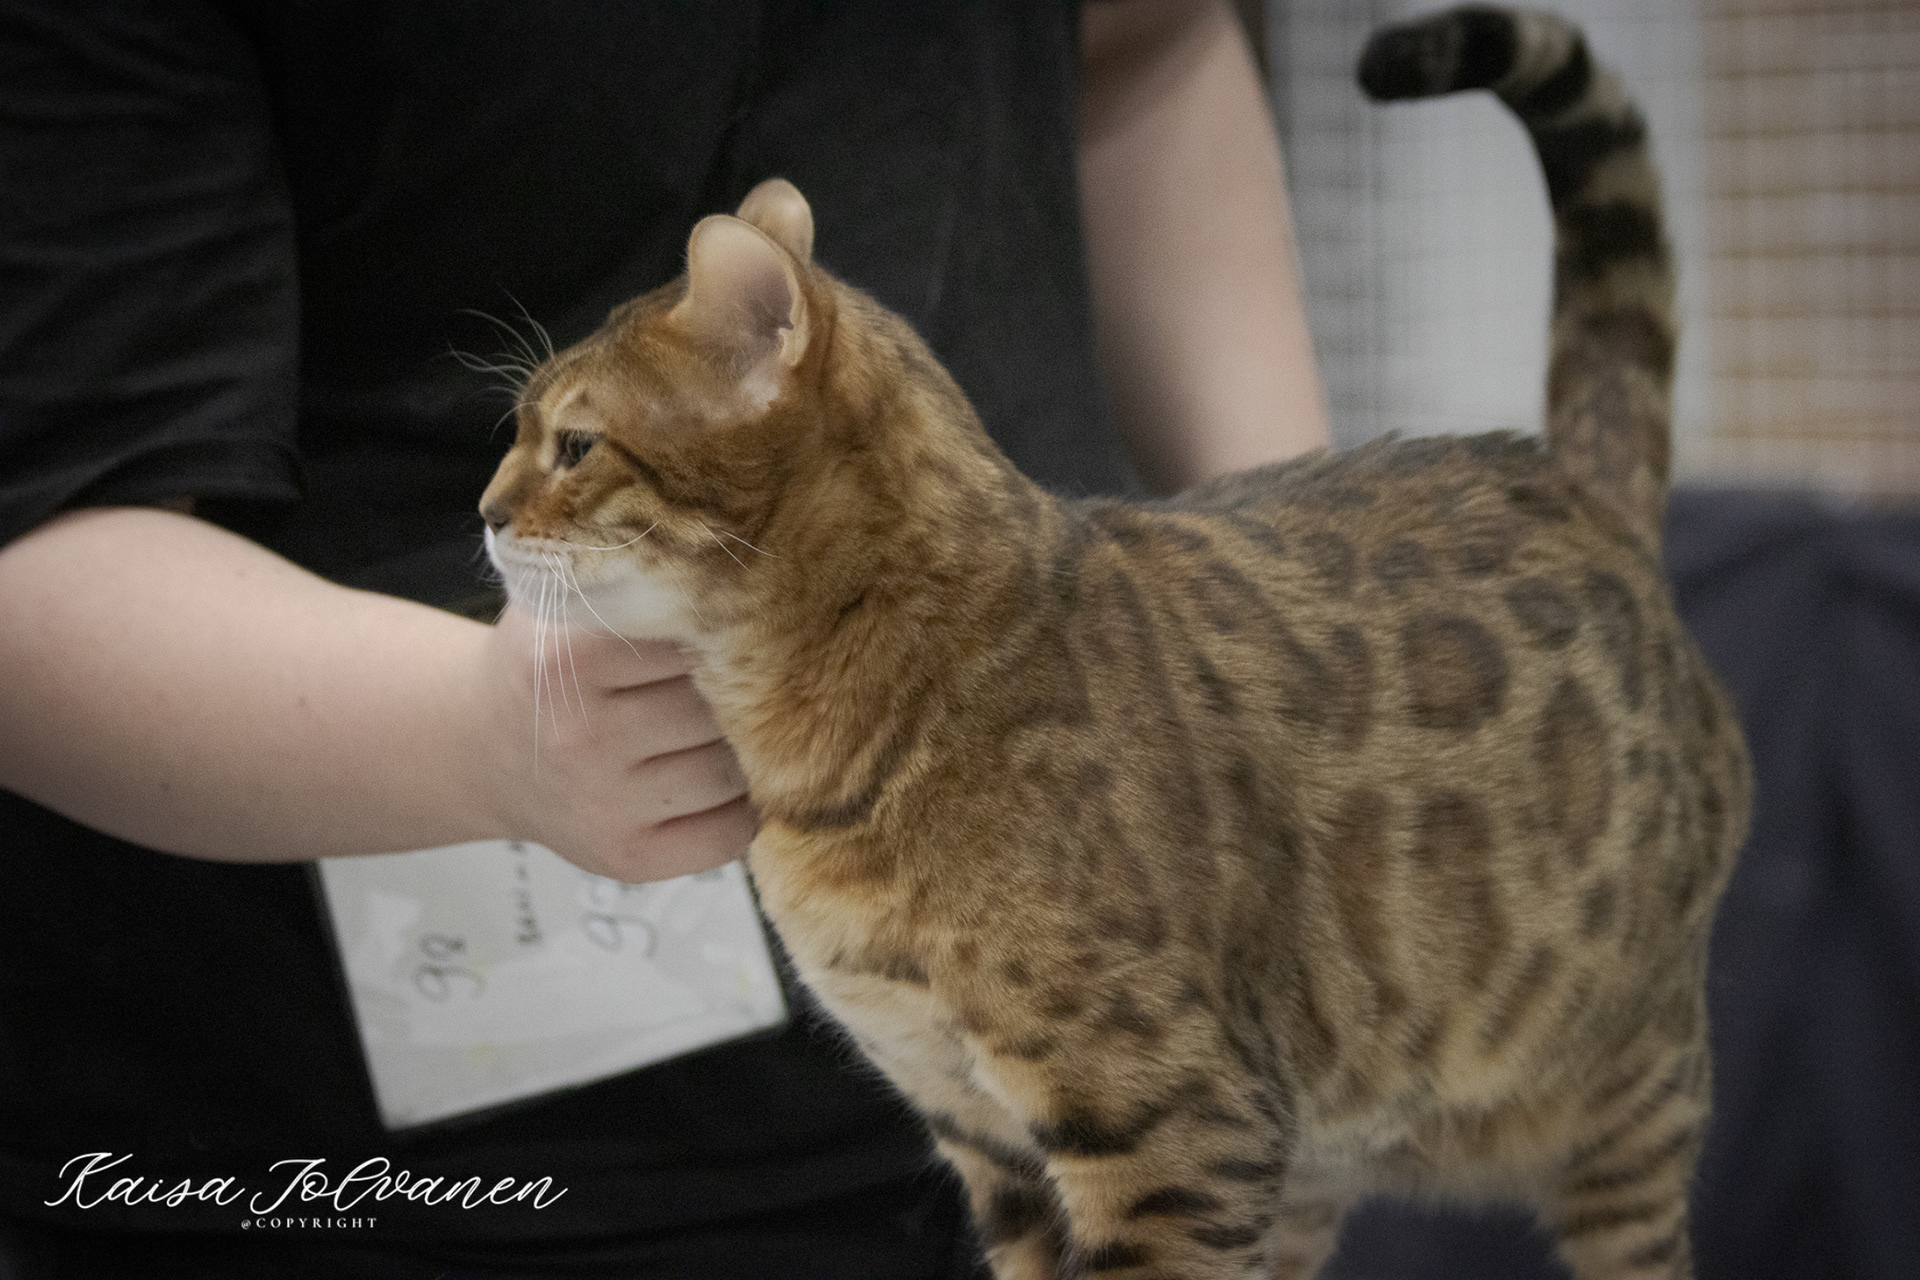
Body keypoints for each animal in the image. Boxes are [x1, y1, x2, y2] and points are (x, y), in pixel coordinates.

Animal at [478, 7, 1748, 1277]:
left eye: (575, 445)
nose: (485, 512)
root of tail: (1576, 483)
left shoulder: (1174, 1123)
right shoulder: (989, 1135)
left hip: (1630, 1099)